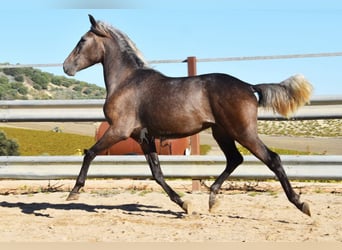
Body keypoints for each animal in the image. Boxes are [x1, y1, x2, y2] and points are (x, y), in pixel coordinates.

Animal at [63, 14, 312, 216]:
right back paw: (212, 199)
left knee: (272, 159)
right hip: (222, 132)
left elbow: (90, 153)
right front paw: (184, 204)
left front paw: (74, 192)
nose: (66, 67)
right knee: (235, 159)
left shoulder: (119, 130)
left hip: (243, 132)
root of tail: (249, 86)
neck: (127, 81)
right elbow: (157, 173)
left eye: (82, 40)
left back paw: (301, 204)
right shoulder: (143, 136)